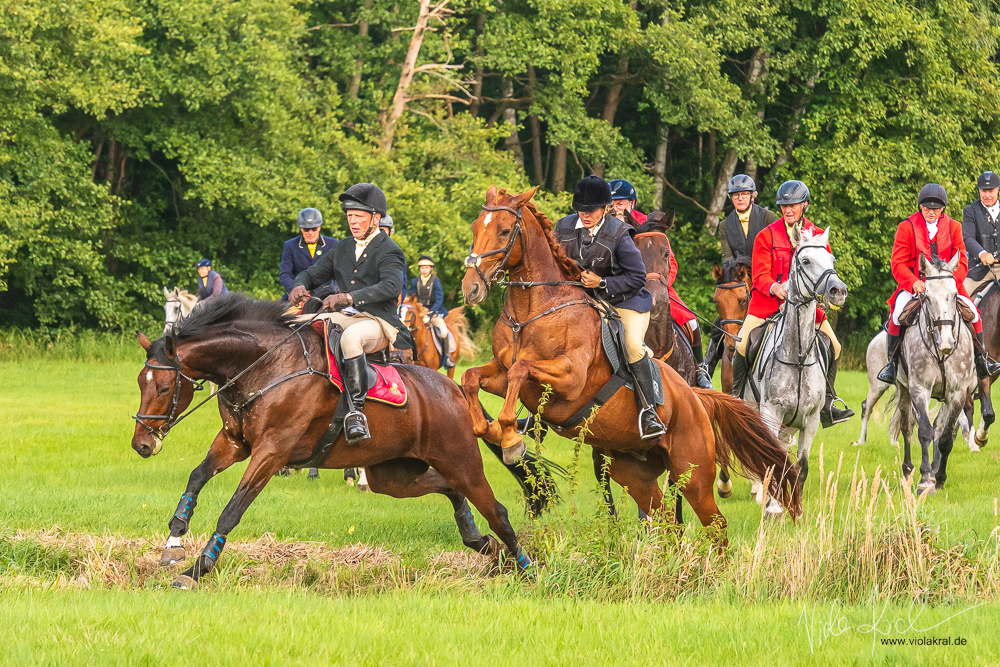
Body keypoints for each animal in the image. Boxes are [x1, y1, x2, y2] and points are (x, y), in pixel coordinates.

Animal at [135, 294, 540, 588]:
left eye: (164, 387)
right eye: (140, 383)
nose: (142, 445)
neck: (264, 366)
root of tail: (453, 389)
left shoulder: (271, 452)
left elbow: (232, 509)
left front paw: (198, 569)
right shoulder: (235, 442)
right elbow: (196, 478)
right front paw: (174, 543)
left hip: (460, 459)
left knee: (497, 511)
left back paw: (528, 569)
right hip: (394, 475)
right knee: (450, 489)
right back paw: (479, 540)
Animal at [458, 185, 800, 540]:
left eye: (504, 231)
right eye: (475, 227)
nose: (471, 288)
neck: (531, 312)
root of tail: (695, 397)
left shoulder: (570, 379)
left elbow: (521, 369)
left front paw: (510, 438)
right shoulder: (501, 373)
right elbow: (472, 378)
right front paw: (490, 428)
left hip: (692, 471)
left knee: (714, 523)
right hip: (633, 470)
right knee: (664, 515)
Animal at [892, 253, 976, 494]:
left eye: (955, 295)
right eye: (927, 298)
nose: (947, 343)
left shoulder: (957, 393)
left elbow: (946, 437)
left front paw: (939, 477)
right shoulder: (919, 389)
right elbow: (924, 432)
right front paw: (925, 480)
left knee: (941, 427)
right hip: (903, 389)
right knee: (907, 427)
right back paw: (909, 470)